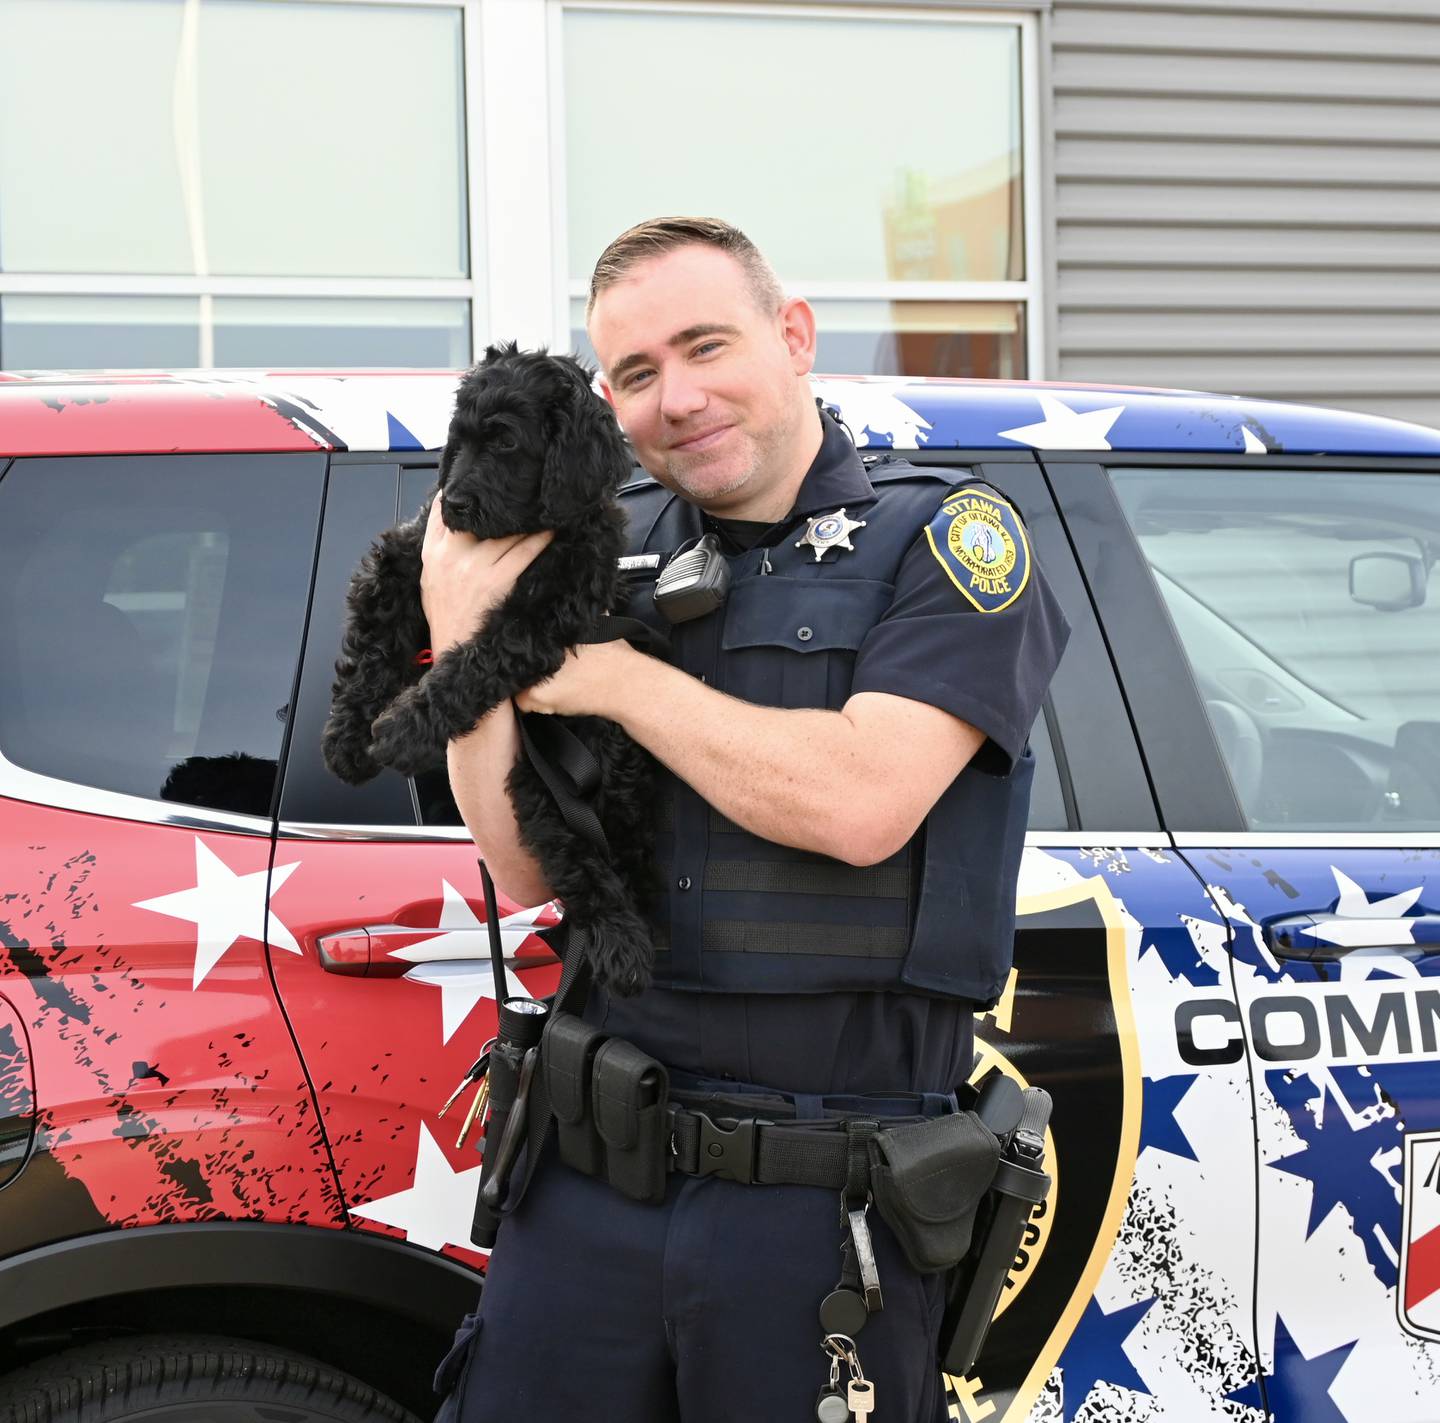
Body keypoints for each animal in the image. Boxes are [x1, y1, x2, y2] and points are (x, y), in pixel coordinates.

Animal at [322, 339, 659, 996]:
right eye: (461, 441)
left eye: (505, 444)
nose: (454, 503)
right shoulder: (404, 560)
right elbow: (371, 647)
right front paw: (348, 740)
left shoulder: (549, 612)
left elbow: (477, 660)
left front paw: (403, 730)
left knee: (587, 867)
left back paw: (623, 945)